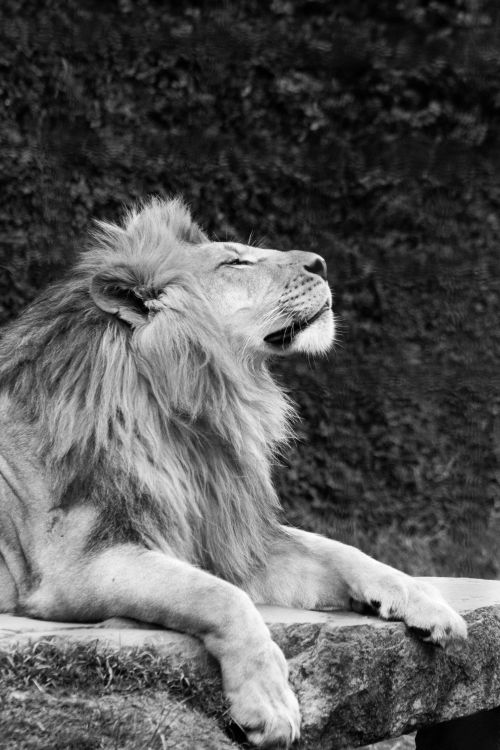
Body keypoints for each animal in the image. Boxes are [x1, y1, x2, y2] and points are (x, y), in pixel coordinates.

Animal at [0, 197, 466, 748]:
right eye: (235, 263)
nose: (321, 262)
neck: (193, 412)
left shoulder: (228, 534)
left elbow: (340, 551)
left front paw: (429, 603)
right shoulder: (75, 568)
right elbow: (221, 596)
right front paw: (269, 703)